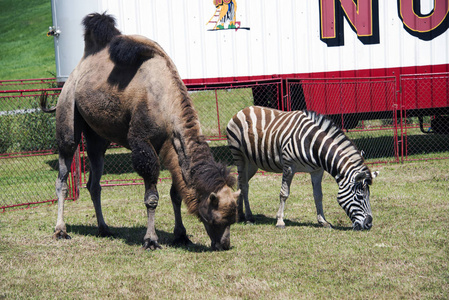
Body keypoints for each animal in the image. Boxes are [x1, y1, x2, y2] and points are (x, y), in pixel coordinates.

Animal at [40, 12, 240, 251]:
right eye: (215, 219)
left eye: (233, 219)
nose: (224, 244)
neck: (164, 100)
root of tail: (76, 71)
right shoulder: (142, 142)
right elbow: (152, 197)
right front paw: (151, 240)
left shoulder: (171, 145)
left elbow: (176, 193)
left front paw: (181, 235)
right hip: (68, 112)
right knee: (62, 176)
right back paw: (60, 230)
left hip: (98, 138)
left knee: (94, 182)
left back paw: (104, 228)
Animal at [224, 105, 378, 230]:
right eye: (360, 197)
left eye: (369, 196)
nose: (369, 224)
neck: (313, 144)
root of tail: (243, 110)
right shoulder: (289, 166)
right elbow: (284, 193)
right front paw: (280, 221)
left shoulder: (317, 171)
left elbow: (318, 195)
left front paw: (323, 221)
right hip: (239, 156)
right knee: (244, 185)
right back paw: (249, 217)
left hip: (252, 163)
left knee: (241, 183)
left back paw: (240, 214)